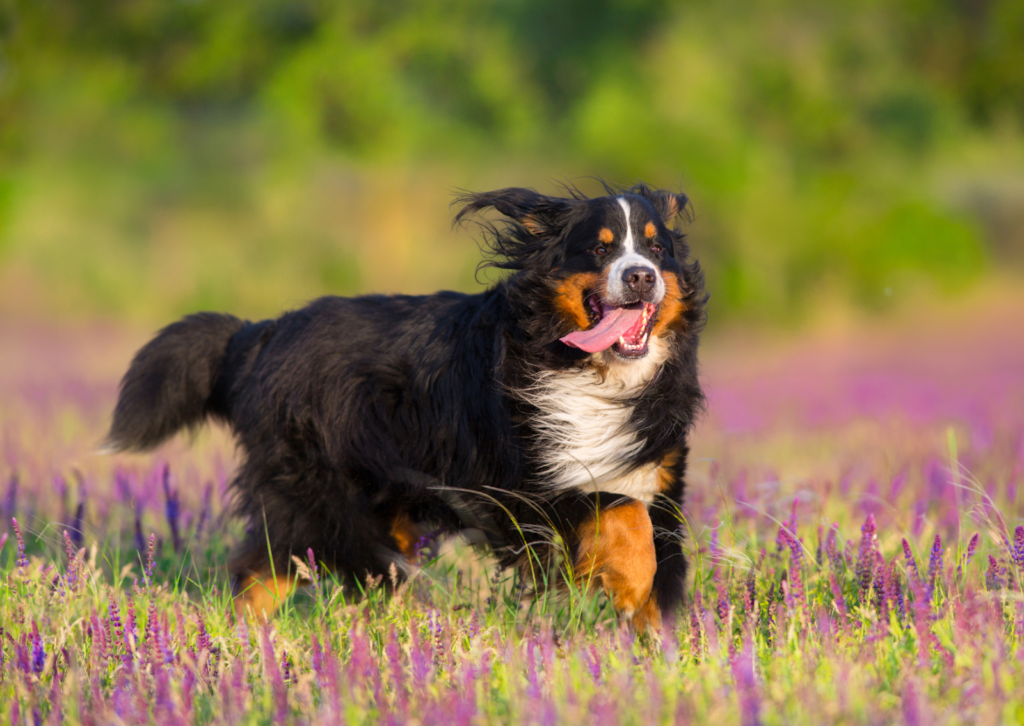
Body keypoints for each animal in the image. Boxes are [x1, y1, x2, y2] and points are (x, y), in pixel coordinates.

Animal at [108, 182, 708, 626]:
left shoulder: (657, 478)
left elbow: (651, 548)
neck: (595, 374)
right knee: (283, 568)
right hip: (320, 498)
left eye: (656, 248)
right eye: (601, 247)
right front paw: (628, 585)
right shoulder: (527, 486)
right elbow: (617, 510)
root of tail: (263, 331)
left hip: (371, 506)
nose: (641, 276)